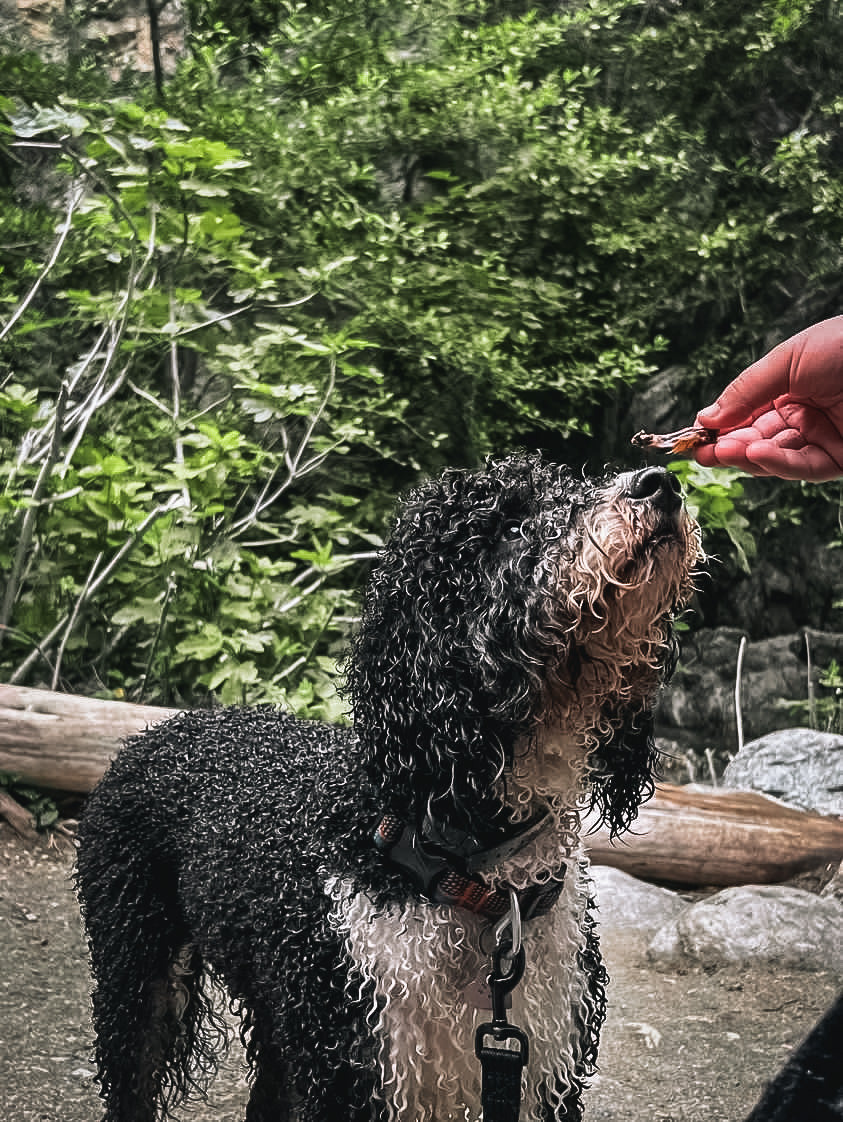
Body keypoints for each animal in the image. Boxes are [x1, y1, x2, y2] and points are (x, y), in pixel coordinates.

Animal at [75, 453, 700, 1122]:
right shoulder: (354, 1069)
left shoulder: (543, 1069)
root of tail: (166, 726)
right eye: (510, 527)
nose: (660, 483)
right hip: (139, 975)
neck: (467, 871)